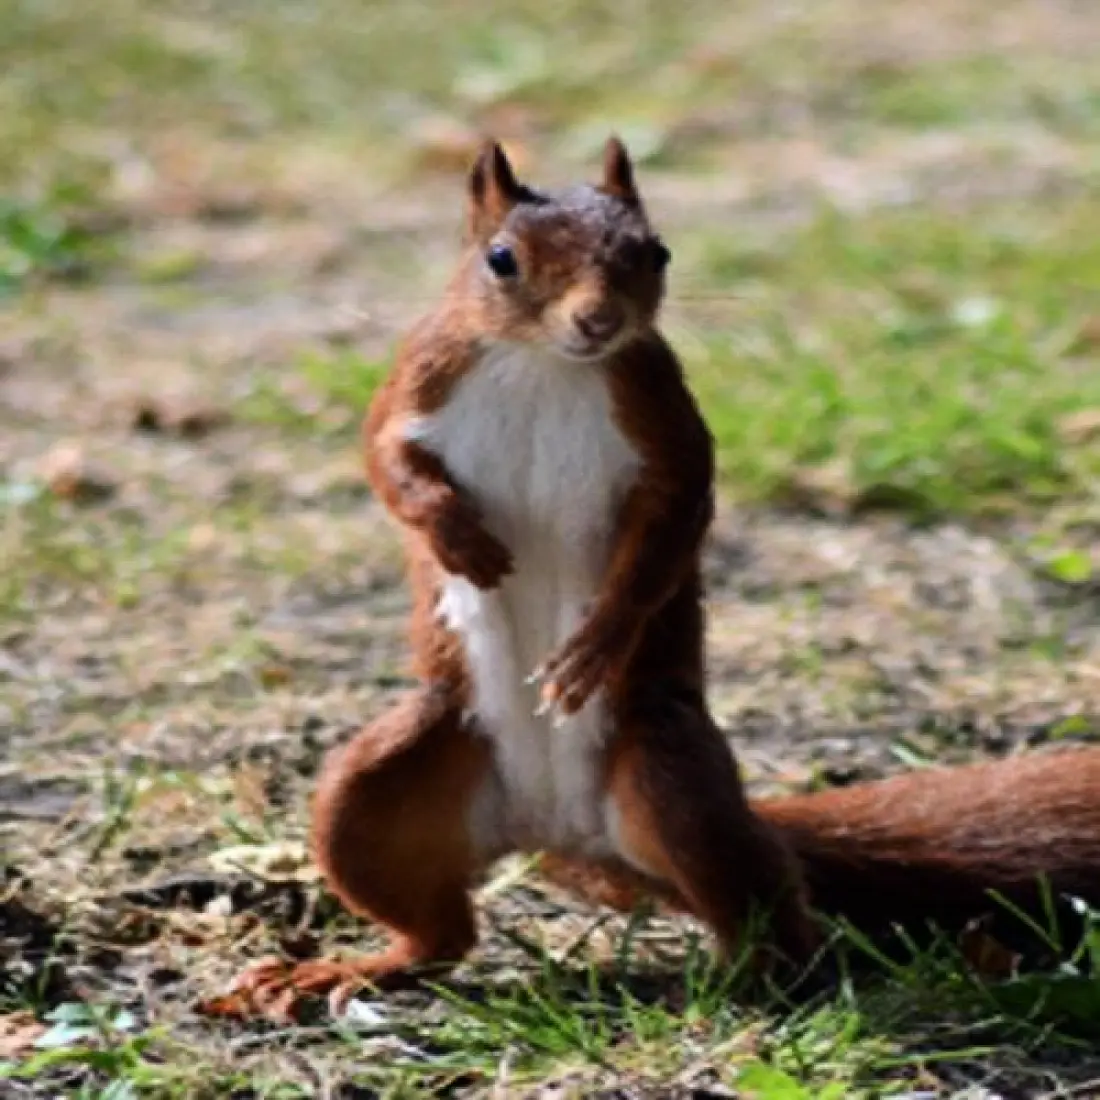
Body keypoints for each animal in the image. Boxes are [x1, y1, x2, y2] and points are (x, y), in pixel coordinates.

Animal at [209, 138, 1100, 1022]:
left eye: (656, 251)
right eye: (501, 259)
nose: (598, 320)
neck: (542, 363)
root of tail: (554, 829)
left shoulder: (661, 413)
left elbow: (671, 528)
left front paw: (595, 645)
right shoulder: (420, 376)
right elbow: (386, 461)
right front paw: (458, 538)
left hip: (672, 779)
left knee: (769, 910)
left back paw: (739, 983)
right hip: (383, 787)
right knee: (437, 930)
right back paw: (345, 971)